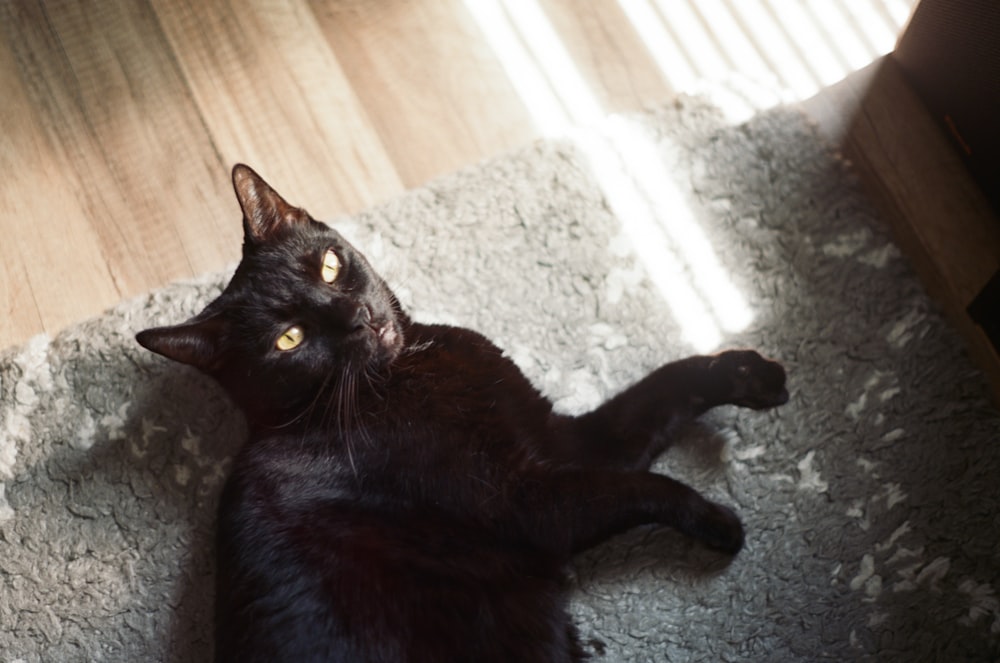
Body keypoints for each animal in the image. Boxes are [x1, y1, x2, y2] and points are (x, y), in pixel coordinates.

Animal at [137, 163, 788, 660]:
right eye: (290, 339)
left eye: (328, 265)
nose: (357, 317)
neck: (409, 370)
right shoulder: (527, 501)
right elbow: (637, 487)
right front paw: (715, 519)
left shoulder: (559, 437)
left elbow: (665, 387)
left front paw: (750, 374)